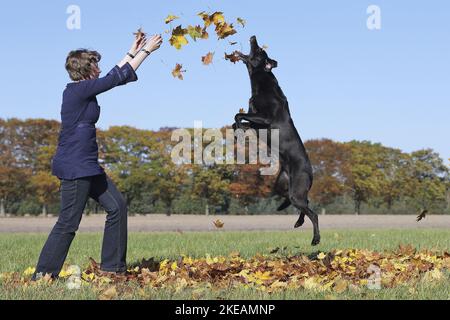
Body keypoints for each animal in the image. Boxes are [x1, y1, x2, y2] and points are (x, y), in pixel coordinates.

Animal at [232, 35, 320, 245]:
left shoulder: (265, 119)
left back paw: (315, 239)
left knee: (313, 213)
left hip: (296, 190)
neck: (261, 83)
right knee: (304, 203)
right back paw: (297, 222)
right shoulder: (255, 123)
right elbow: (237, 120)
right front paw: (237, 131)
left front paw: (238, 129)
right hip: (283, 187)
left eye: (259, 51)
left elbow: (237, 115)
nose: (253, 36)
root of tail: (311, 173)